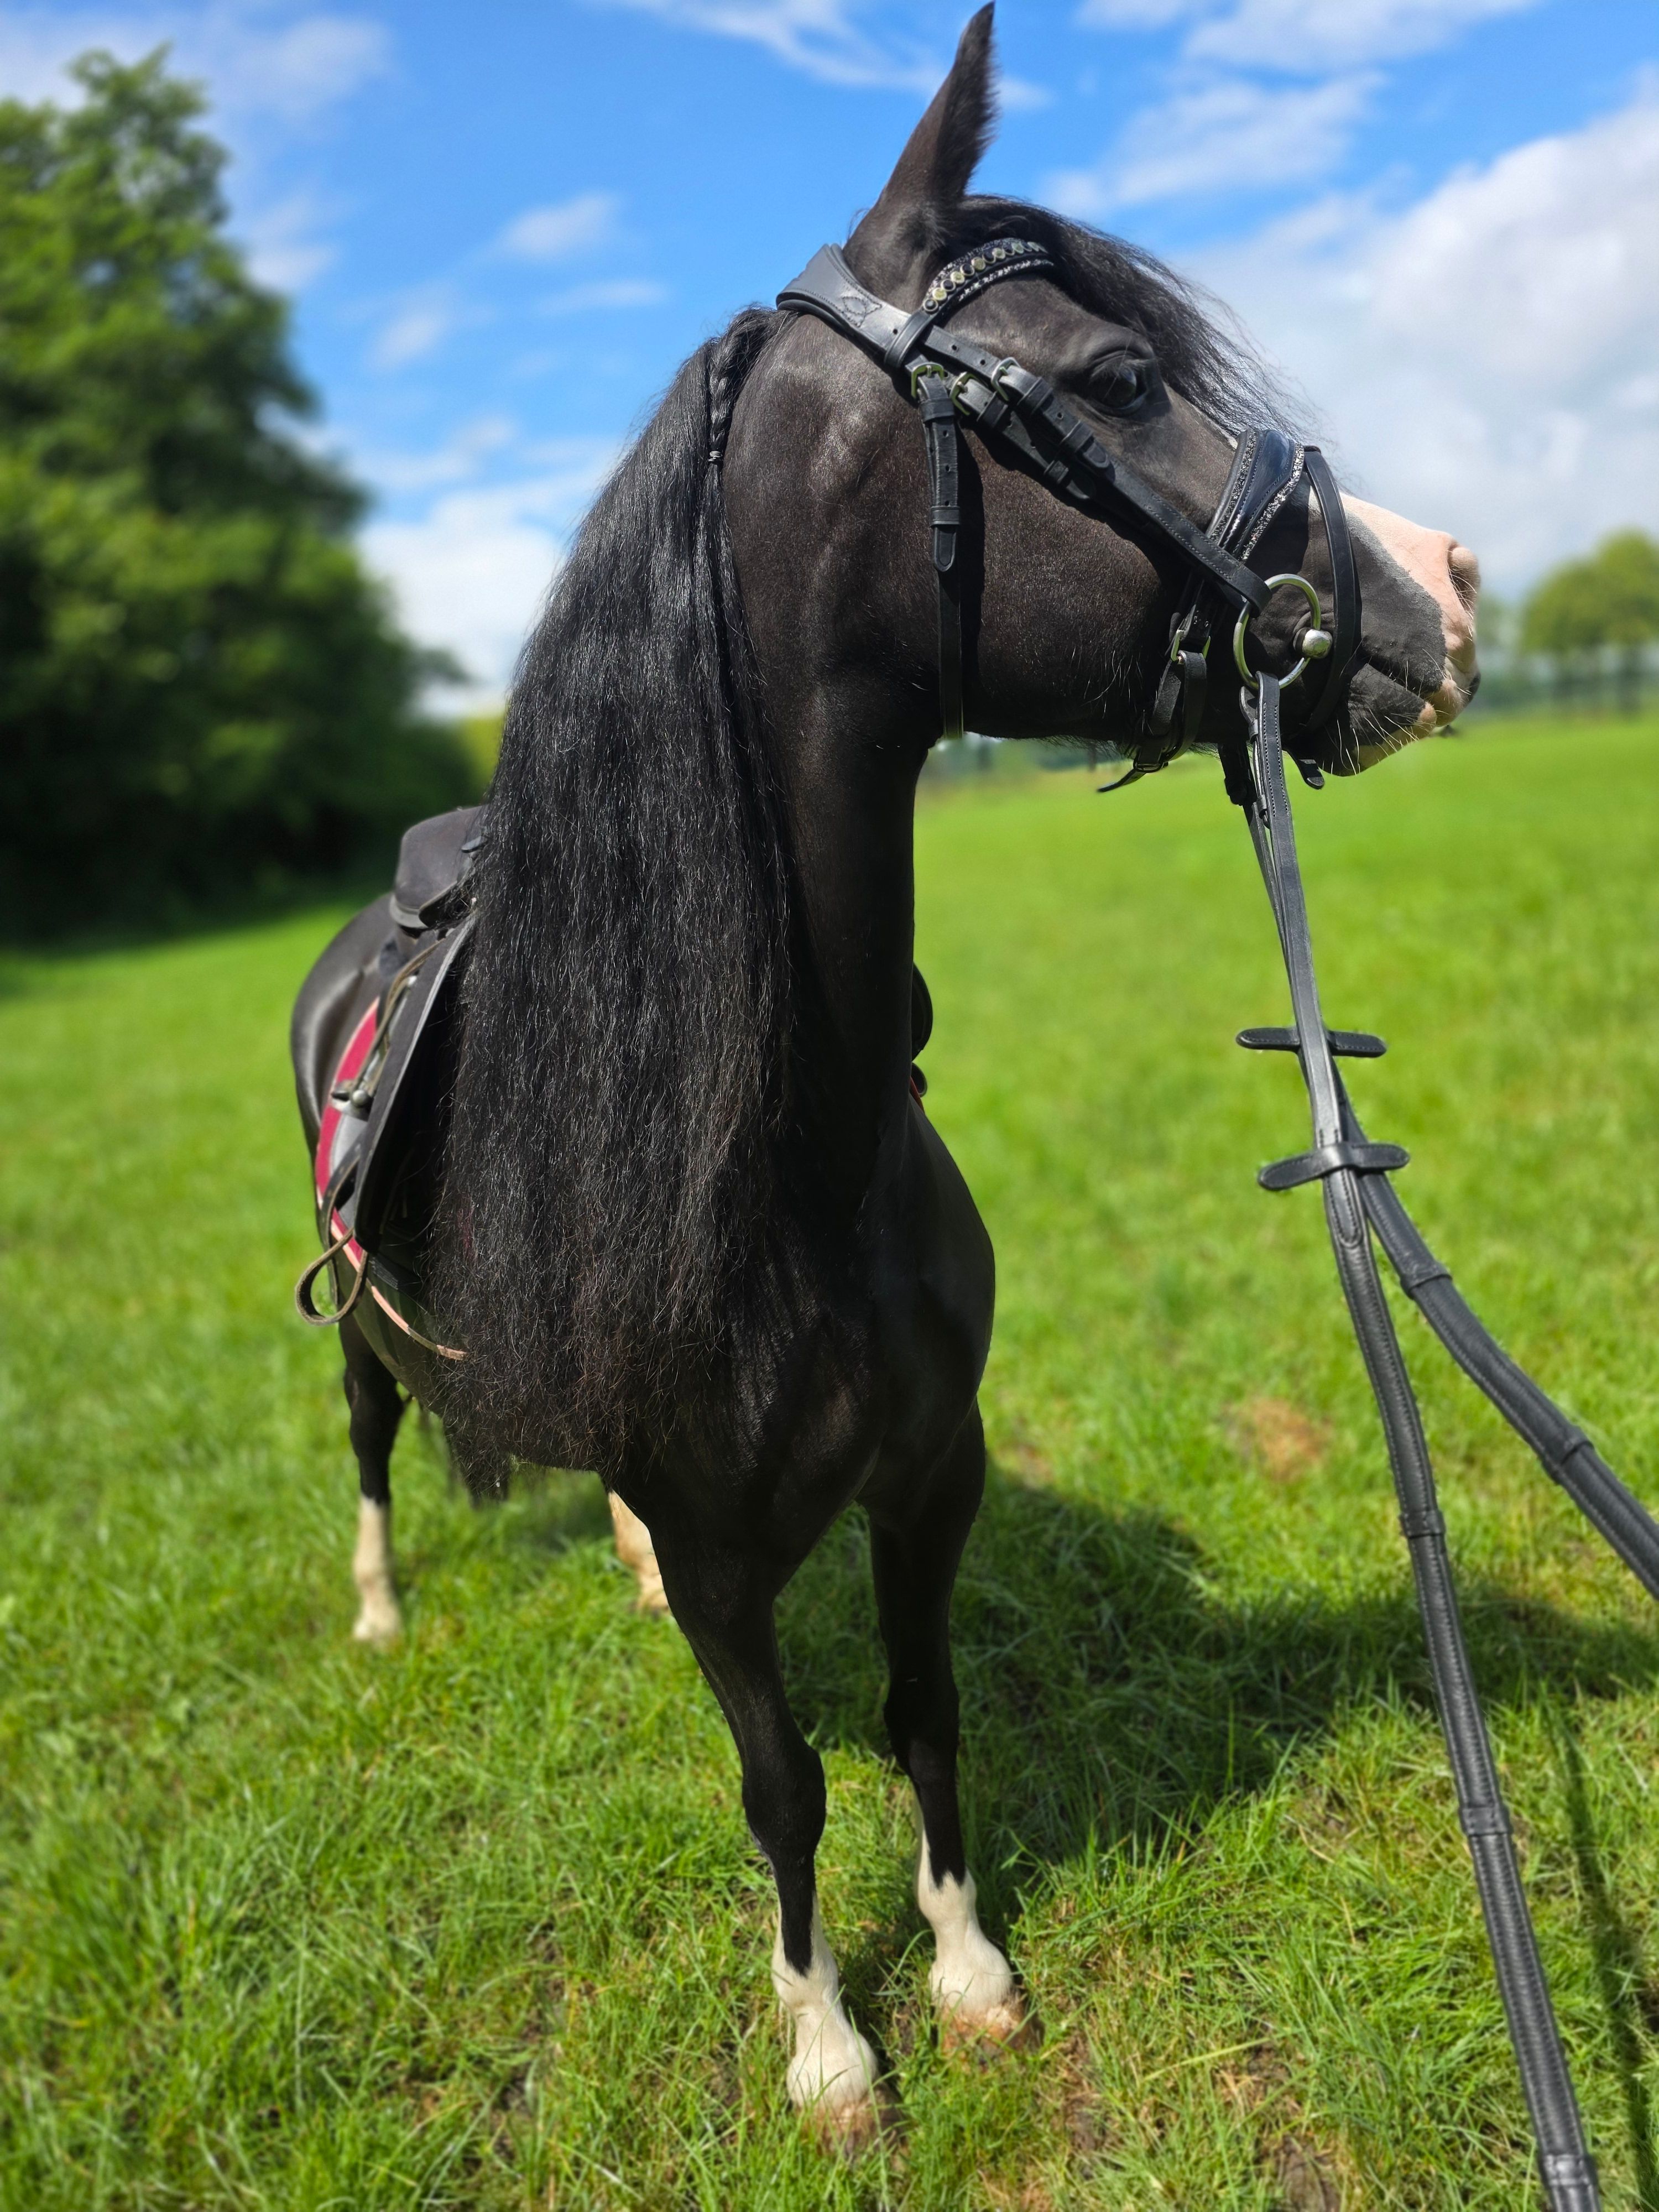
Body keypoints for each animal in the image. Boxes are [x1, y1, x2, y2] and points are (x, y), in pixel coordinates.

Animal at [290, 5, 1479, 2145]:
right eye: (1122, 380)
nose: (1443, 583)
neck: (788, 1159)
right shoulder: (737, 1554)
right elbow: (782, 1786)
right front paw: (832, 2045)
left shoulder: (931, 1475)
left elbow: (925, 1716)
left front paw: (971, 1970)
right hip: (362, 1345)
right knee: (365, 1454)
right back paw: (376, 1608)